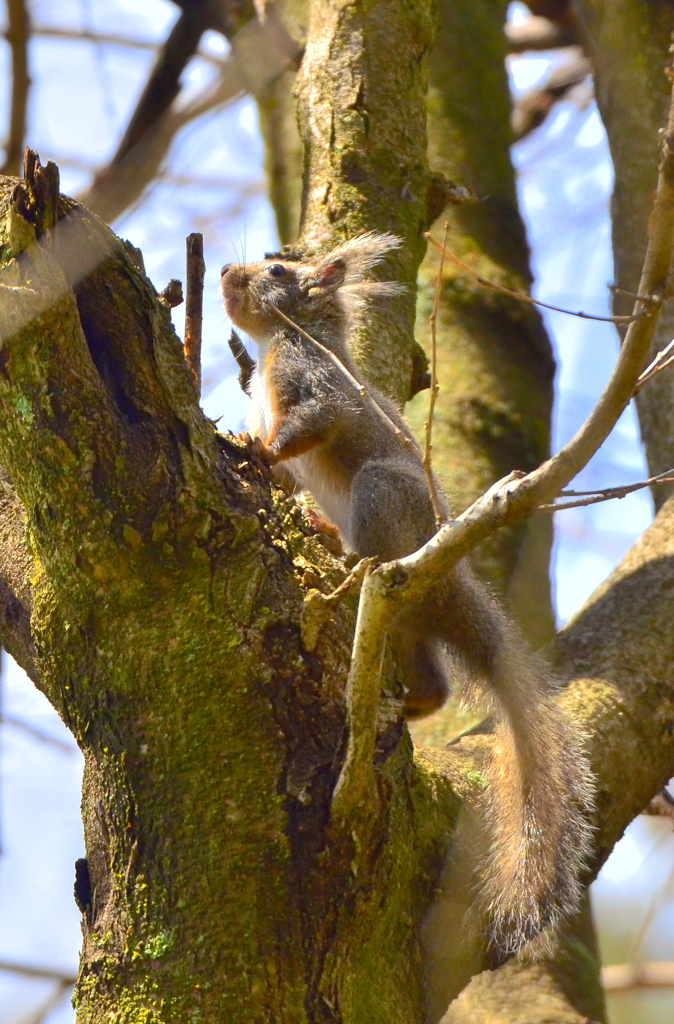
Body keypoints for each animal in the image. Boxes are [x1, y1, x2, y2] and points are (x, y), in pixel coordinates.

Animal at [219, 234, 590, 958]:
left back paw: (343, 551)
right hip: (408, 628)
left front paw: (257, 451)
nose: (224, 270)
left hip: (381, 496)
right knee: (433, 686)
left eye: (276, 268)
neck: (290, 336)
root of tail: (442, 574)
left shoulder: (317, 385)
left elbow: (308, 427)